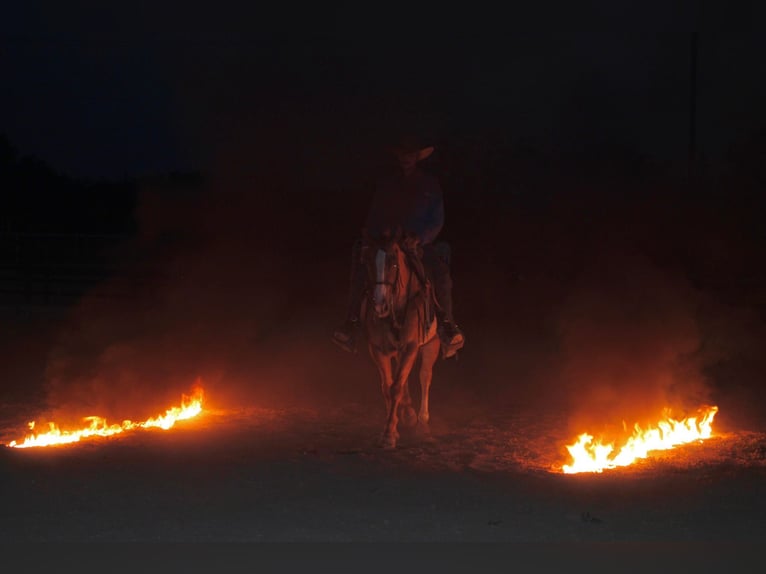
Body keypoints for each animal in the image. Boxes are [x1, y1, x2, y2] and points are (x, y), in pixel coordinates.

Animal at [364, 228, 440, 450]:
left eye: (394, 264)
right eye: (368, 262)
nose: (379, 304)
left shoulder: (411, 347)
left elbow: (396, 387)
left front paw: (389, 434)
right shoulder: (377, 350)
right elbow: (387, 387)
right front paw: (394, 426)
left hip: (432, 345)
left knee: (425, 377)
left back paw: (422, 420)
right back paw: (408, 414)